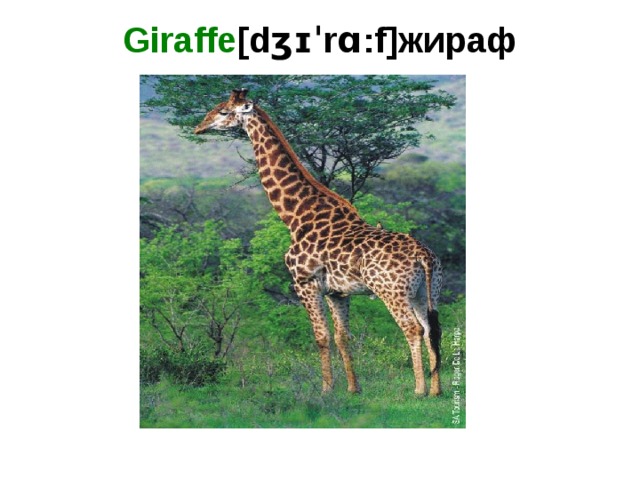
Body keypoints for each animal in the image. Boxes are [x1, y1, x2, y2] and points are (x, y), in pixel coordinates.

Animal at [195, 88, 443, 396]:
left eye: (224, 112)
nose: (199, 127)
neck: (296, 217)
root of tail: (423, 255)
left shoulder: (305, 282)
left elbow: (321, 336)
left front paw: (326, 389)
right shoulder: (338, 292)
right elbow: (342, 337)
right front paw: (353, 389)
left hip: (392, 292)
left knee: (412, 329)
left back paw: (419, 389)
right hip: (427, 291)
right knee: (432, 328)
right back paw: (436, 390)